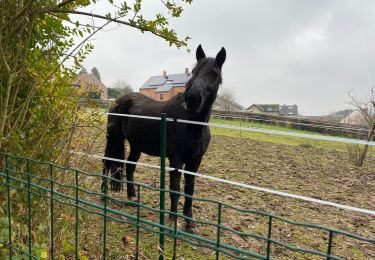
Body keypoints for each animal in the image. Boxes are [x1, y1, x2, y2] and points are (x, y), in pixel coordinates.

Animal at [102, 45, 226, 232]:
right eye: (194, 71)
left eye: (215, 74)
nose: (192, 99)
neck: (191, 124)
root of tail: (118, 101)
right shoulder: (176, 160)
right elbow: (175, 189)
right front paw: (172, 221)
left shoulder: (195, 161)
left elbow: (189, 189)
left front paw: (190, 223)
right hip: (113, 138)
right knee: (107, 162)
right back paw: (103, 195)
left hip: (136, 145)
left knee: (129, 166)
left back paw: (132, 196)